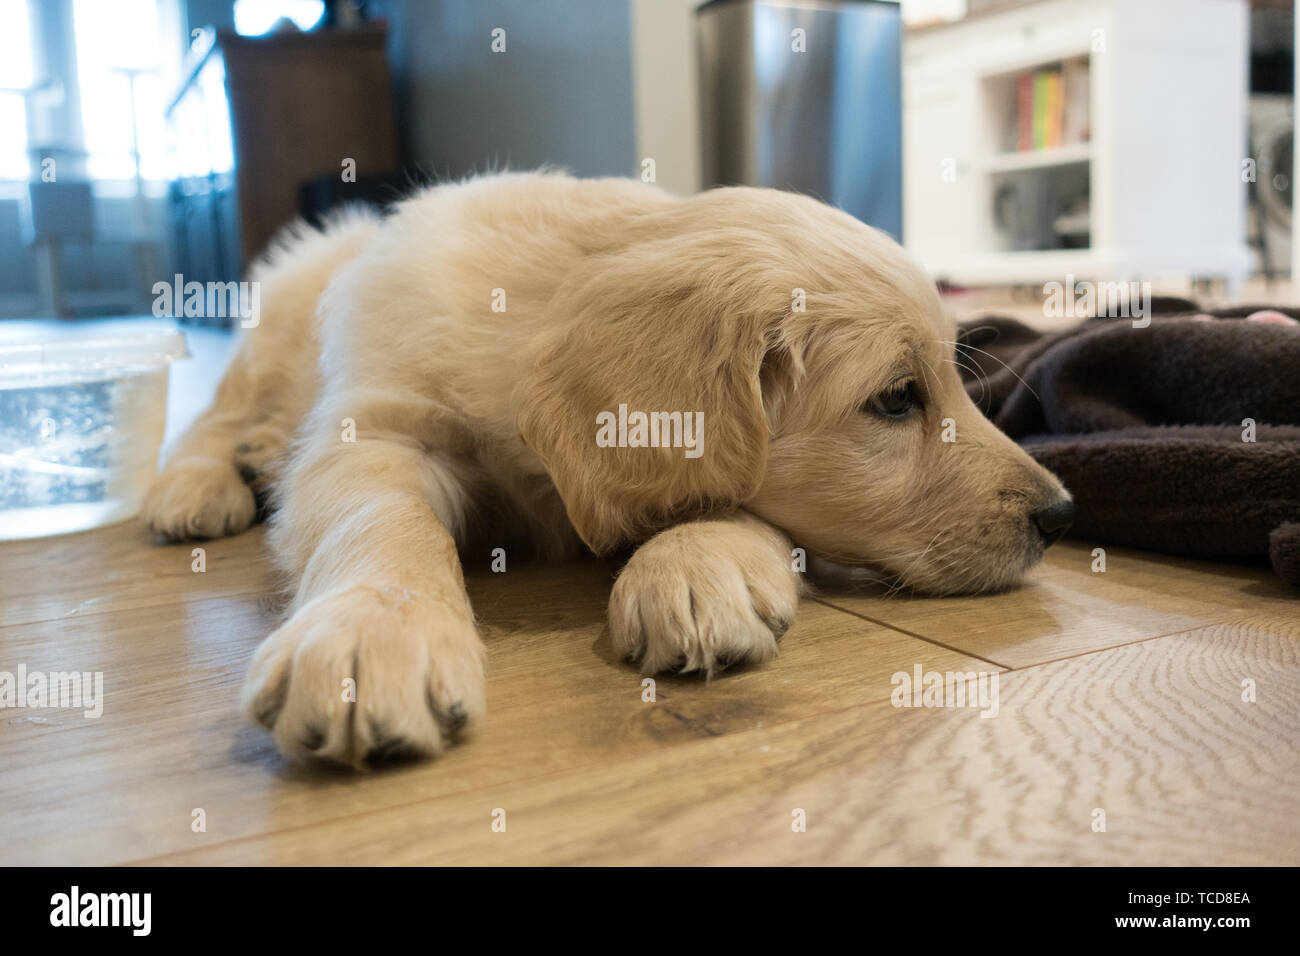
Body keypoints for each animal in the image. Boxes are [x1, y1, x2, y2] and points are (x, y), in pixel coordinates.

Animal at [144, 170, 1076, 770]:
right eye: (896, 398)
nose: (1061, 514)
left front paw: (699, 563)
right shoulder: (374, 425)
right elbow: (381, 514)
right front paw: (373, 629)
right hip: (279, 320)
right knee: (215, 411)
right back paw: (199, 484)